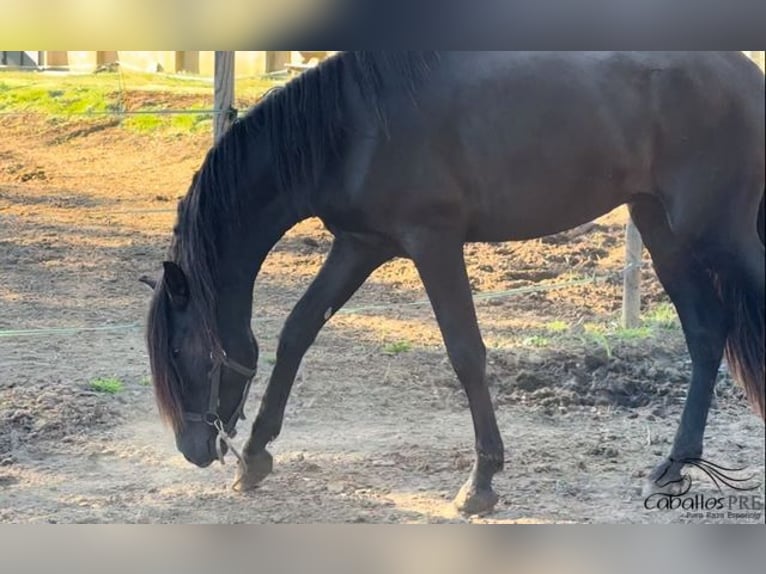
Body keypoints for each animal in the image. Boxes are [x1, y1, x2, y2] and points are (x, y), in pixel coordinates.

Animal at [141, 51, 764, 516]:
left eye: (180, 352)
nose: (193, 450)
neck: (352, 127)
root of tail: (743, 70)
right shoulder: (359, 245)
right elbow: (296, 332)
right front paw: (255, 458)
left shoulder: (433, 243)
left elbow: (465, 352)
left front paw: (480, 483)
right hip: (662, 230)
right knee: (706, 334)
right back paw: (674, 466)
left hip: (719, 232)